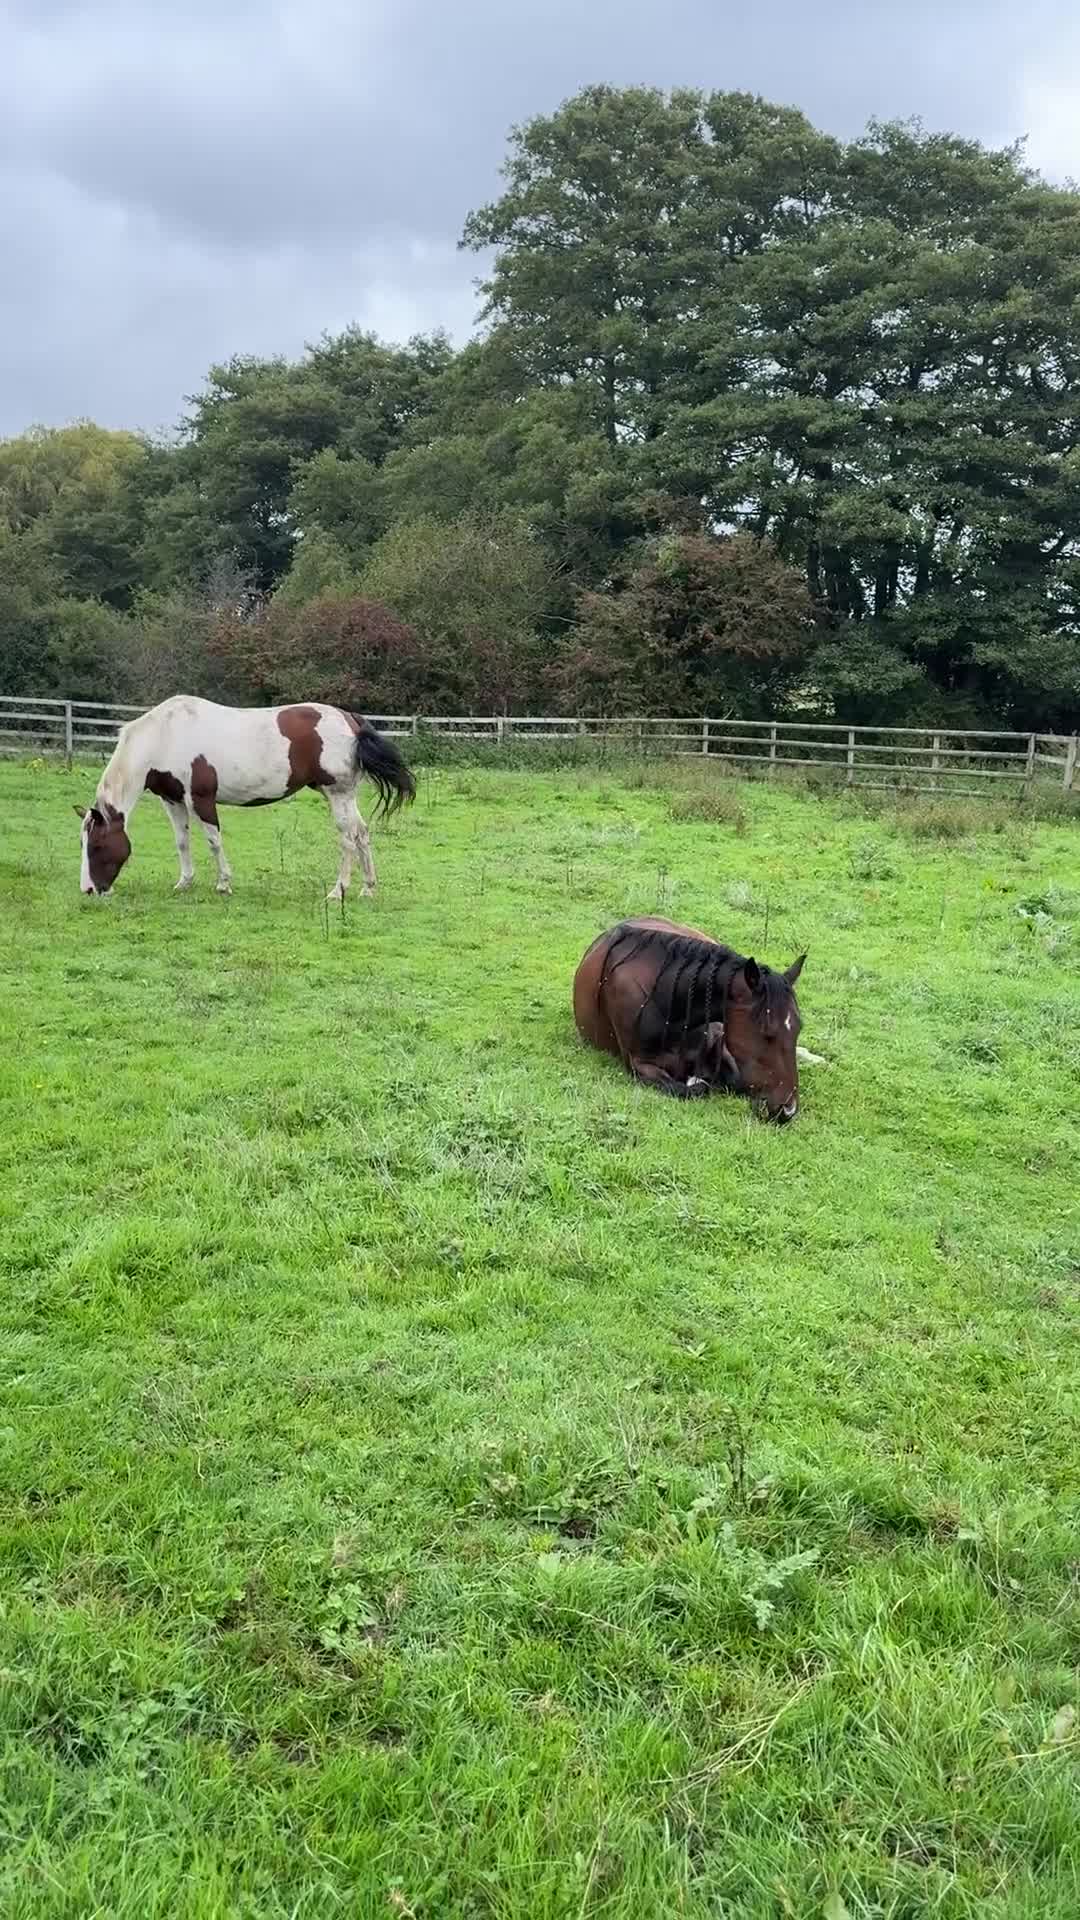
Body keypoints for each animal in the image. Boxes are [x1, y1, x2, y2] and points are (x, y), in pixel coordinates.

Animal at [76, 695, 415, 899]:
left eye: (97, 845)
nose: (90, 889)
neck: (165, 736)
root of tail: (351, 720)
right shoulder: (172, 800)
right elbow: (182, 842)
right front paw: (184, 882)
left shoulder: (201, 799)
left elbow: (213, 841)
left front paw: (224, 883)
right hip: (344, 796)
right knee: (361, 834)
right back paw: (368, 889)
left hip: (337, 794)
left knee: (347, 839)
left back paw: (338, 891)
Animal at [573, 916, 807, 1123]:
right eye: (767, 1032)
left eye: (798, 1029)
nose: (789, 1109)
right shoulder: (640, 1064)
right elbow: (693, 1088)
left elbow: (733, 1078)